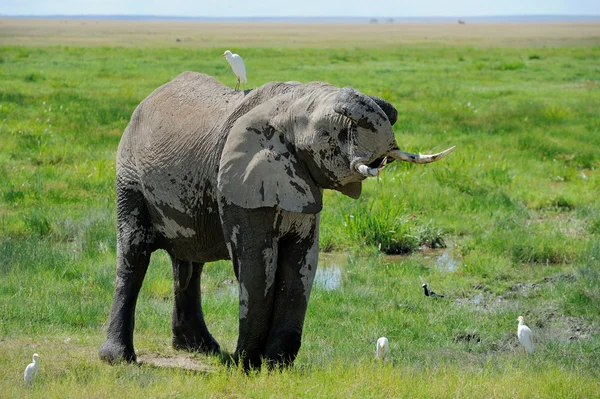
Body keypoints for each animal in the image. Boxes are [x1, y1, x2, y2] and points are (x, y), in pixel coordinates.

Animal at [99, 71, 454, 368]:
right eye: (332, 131)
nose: (351, 94)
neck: (290, 103)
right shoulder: (237, 185)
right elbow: (256, 263)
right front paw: (246, 364)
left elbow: (301, 261)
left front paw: (275, 365)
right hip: (129, 176)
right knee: (134, 255)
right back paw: (120, 359)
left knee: (188, 263)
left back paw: (201, 348)